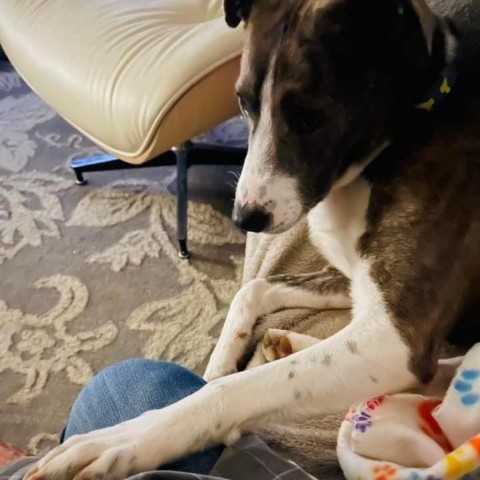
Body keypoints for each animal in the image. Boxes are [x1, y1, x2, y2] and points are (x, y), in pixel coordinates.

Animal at [25, 0, 480, 478]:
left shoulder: (400, 337)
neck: (405, 130)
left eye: (310, 117)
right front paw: (217, 364)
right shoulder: (353, 281)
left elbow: (232, 390)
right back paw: (287, 344)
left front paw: (126, 438)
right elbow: (253, 291)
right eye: (243, 104)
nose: (245, 218)